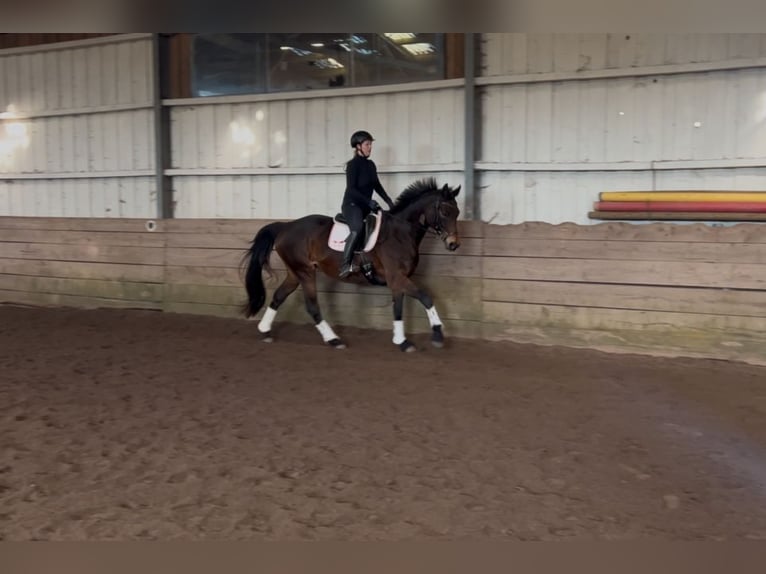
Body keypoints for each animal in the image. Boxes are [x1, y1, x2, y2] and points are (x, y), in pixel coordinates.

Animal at [242, 178, 462, 354]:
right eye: (444, 211)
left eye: (458, 212)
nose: (454, 244)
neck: (401, 232)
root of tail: (285, 226)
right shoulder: (397, 277)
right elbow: (426, 297)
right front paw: (437, 335)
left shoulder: (397, 280)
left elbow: (398, 308)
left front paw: (401, 341)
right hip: (305, 272)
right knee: (312, 306)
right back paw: (334, 340)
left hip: (294, 273)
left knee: (278, 296)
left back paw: (265, 331)